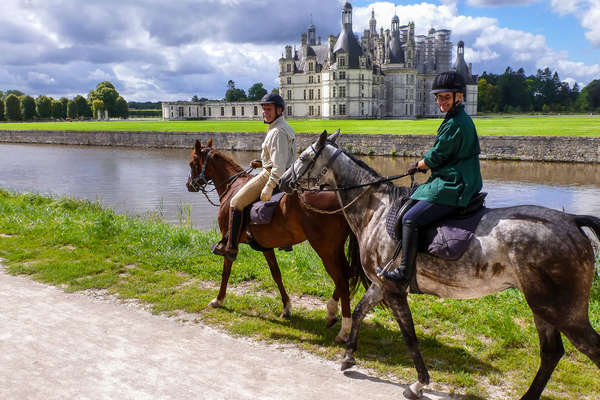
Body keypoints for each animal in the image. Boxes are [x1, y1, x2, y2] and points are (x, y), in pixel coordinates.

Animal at [185, 139, 364, 342]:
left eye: (192, 163)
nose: (189, 184)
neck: (233, 186)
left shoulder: (231, 242)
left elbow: (226, 271)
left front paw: (219, 299)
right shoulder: (266, 247)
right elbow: (276, 274)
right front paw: (286, 307)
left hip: (325, 250)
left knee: (342, 280)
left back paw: (344, 328)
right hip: (335, 249)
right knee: (347, 275)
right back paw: (331, 312)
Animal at [282, 130, 600, 398]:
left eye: (304, 157)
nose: (283, 181)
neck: (377, 208)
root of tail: (571, 221)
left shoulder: (393, 289)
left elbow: (410, 336)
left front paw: (419, 383)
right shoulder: (380, 284)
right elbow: (360, 311)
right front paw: (348, 357)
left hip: (562, 311)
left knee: (587, 349)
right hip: (543, 308)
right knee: (551, 353)